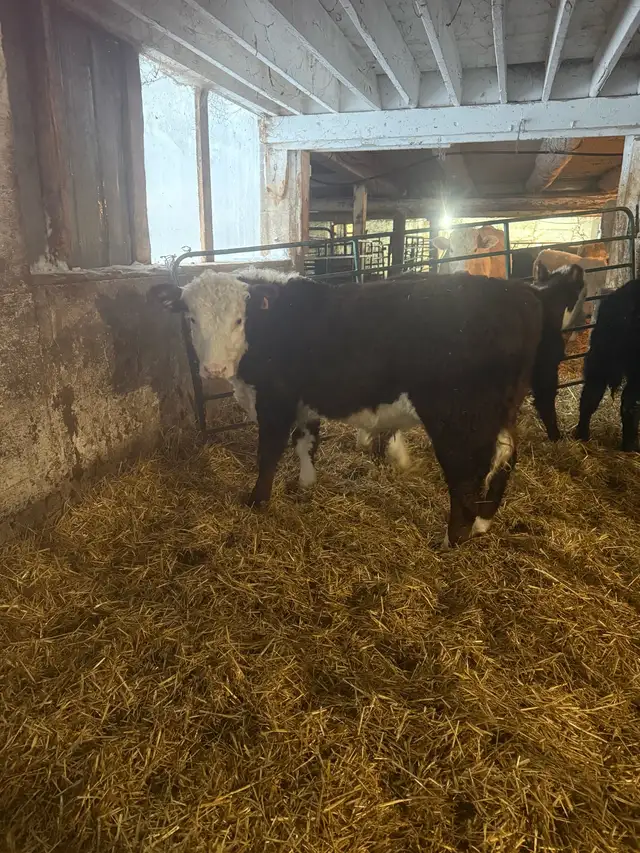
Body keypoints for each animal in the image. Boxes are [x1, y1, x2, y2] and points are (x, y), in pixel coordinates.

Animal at [154, 267, 585, 548]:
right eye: (191, 318)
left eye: (239, 320)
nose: (213, 369)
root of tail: (524, 295)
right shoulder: (305, 398)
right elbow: (306, 441)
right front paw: (306, 482)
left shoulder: (275, 399)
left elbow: (270, 451)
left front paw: (257, 501)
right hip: (500, 411)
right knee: (505, 456)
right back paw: (482, 522)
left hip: (458, 417)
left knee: (468, 472)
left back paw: (453, 537)